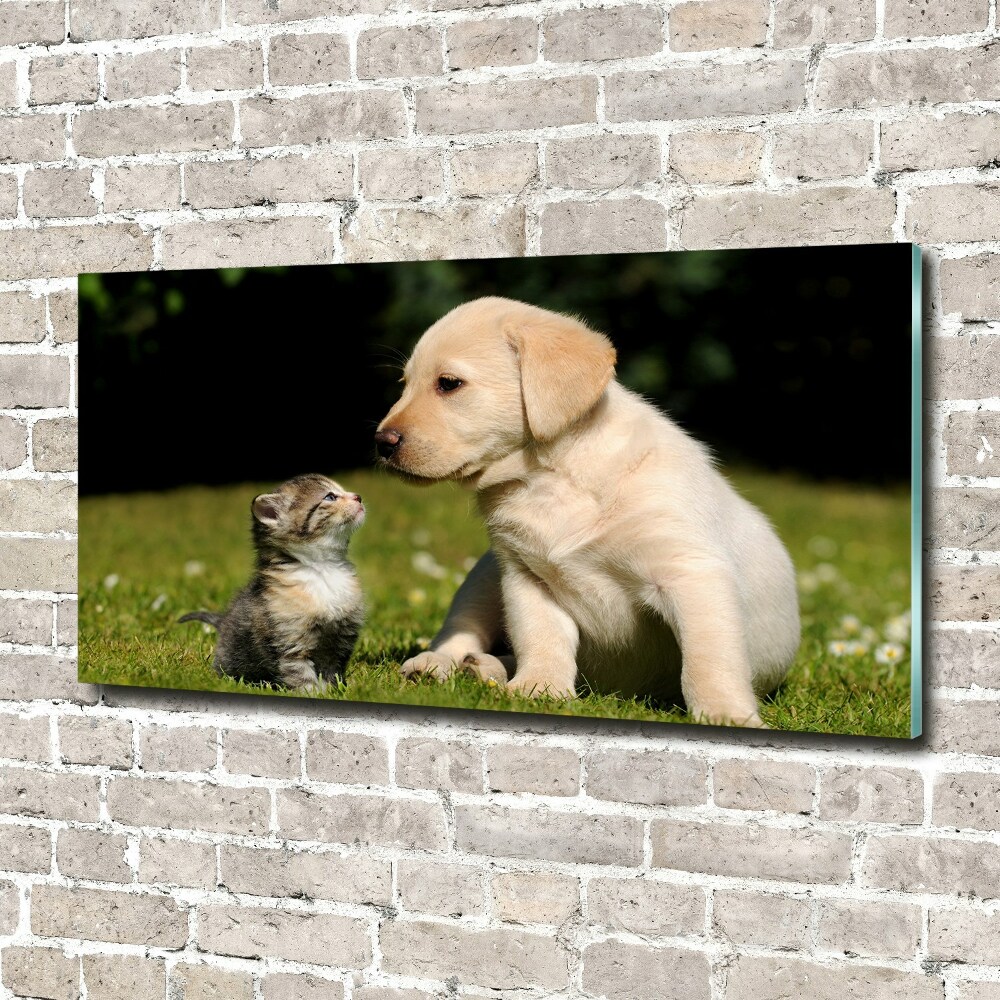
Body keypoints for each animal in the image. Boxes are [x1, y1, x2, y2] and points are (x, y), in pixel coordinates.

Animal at [181, 474, 368, 692]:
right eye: (330, 497)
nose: (358, 497)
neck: (323, 569)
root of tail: (223, 621)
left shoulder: (340, 640)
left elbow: (332, 671)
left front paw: (335, 691)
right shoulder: (290, 642)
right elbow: (300, 674)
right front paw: (313, 693)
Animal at [374, 296, 796, 728]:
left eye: (449, 383)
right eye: (404, 384)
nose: (381, 443)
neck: (551, 478)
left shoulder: (691, 574)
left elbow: (708, 659)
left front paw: (726, 714)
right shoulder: (526, 577)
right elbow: (541, 638)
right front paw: (538, 689)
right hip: (484, 576)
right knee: (460, 630)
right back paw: (442, 665)